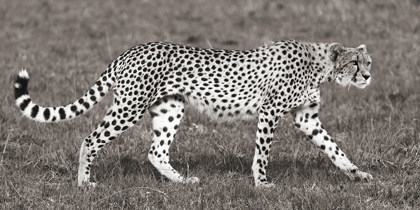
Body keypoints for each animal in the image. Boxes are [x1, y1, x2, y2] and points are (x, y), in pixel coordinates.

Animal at [13, 39, 374, 187]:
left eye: (368, 62)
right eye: (355, 63)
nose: (369, 76)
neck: (321, 65)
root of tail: (130, 50)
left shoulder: (306, 117)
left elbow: (335, 149)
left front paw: (357, 175)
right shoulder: (269, 111)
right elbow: (262, 154)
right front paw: (262, 184)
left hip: (171, 108)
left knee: (156, 152)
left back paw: (183, 182)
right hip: (129, 107)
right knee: (90, 139)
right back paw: (84, 183)